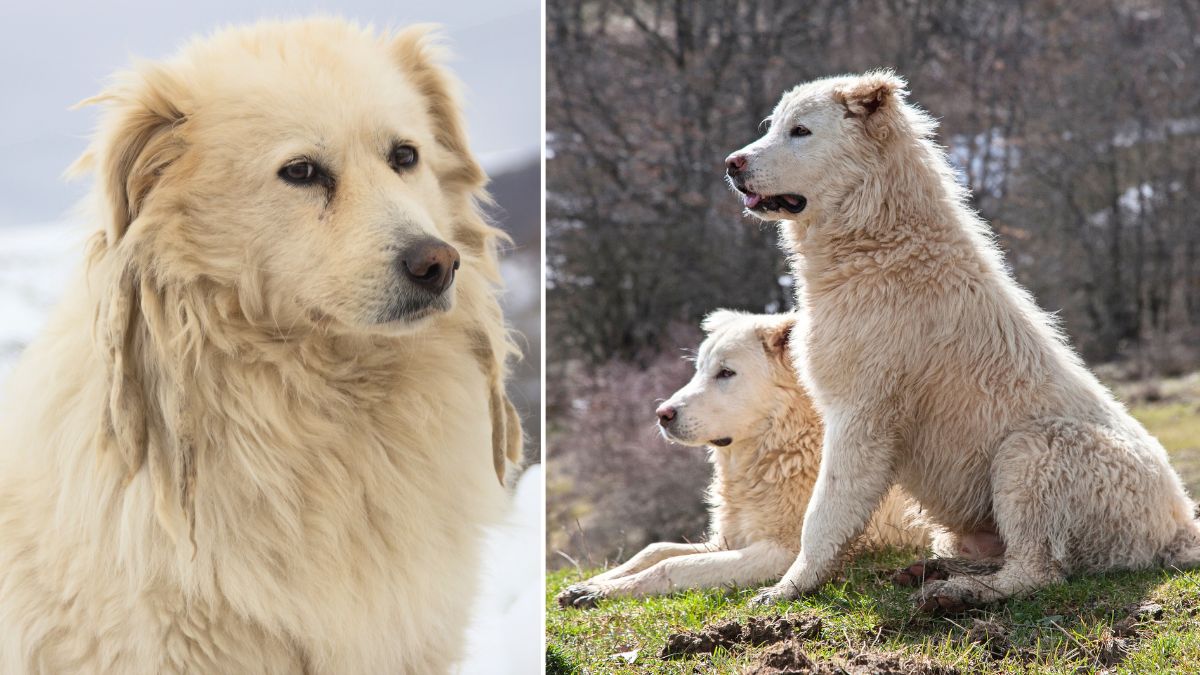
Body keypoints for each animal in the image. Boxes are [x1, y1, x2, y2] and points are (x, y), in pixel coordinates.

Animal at [556, 309, 921, 605]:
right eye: (699, 369)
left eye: (726, 373)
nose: (662, 414)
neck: (779, 452)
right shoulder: (728, 539)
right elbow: (654, 549)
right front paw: (591, 584)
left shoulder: (780, 552)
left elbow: (671, 565)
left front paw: (602, 592)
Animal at [720, 69, 1200, 610]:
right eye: (772, 126)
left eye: (800, 131)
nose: (732, 164)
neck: (880, 241)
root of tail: (1180, 527)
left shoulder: (862, 414)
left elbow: (822, 514)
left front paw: (789, 588)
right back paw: (933, 571)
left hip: (1029, 452)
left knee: (1036, 572)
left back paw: (956, 592)